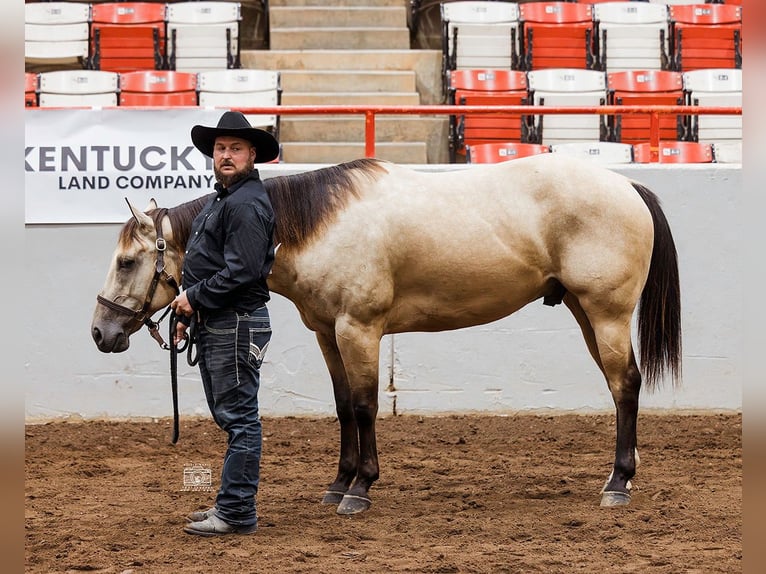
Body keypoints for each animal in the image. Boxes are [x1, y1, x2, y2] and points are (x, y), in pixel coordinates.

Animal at [91, 155, 681, 514]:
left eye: (126, 262)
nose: (101, 332)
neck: (320, 227)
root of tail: (626, 185)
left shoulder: (360, 329)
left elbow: (367, 405)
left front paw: (360, 489)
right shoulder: (327, 333)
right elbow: (343, 408)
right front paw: (338, 483)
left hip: (606, 313)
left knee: (625, 385)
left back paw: (618, 483)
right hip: (586, 313)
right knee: (619, 387)